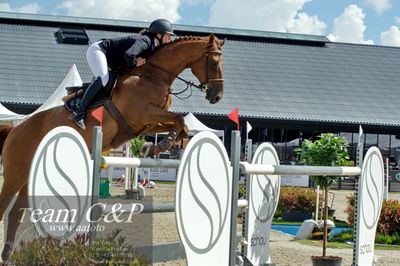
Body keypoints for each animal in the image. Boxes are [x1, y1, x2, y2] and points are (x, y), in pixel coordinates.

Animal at [0, 33, 225, 262]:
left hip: (28, 177)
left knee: (16, 212)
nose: (216, 96)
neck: (154, 76)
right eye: (214, 62)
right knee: (5, 206)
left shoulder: (146, 123)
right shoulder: (142, 114)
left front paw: (154, 147)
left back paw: (8, 255)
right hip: (15, 174)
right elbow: (179, 119)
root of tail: (16, 130)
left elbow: (180, 125)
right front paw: (158, 145)